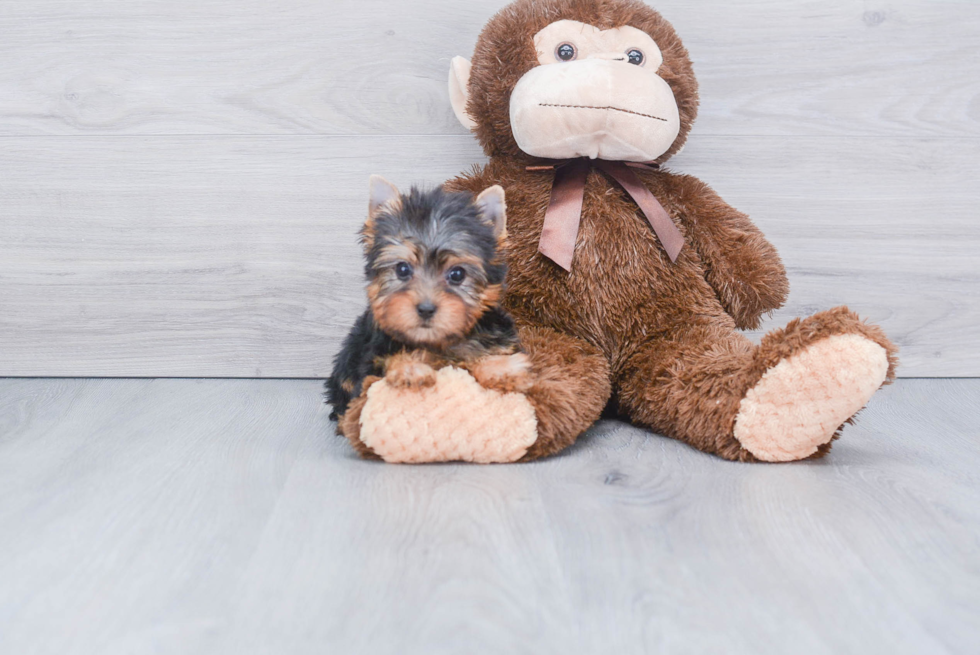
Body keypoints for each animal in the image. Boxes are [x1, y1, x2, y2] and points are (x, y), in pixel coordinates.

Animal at [326, 176, 528, 420]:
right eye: (402, 269)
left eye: (457, 274)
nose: (426, 309)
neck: (439, 342)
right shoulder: (373, 357)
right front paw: (409, 368)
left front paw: (501, 368)